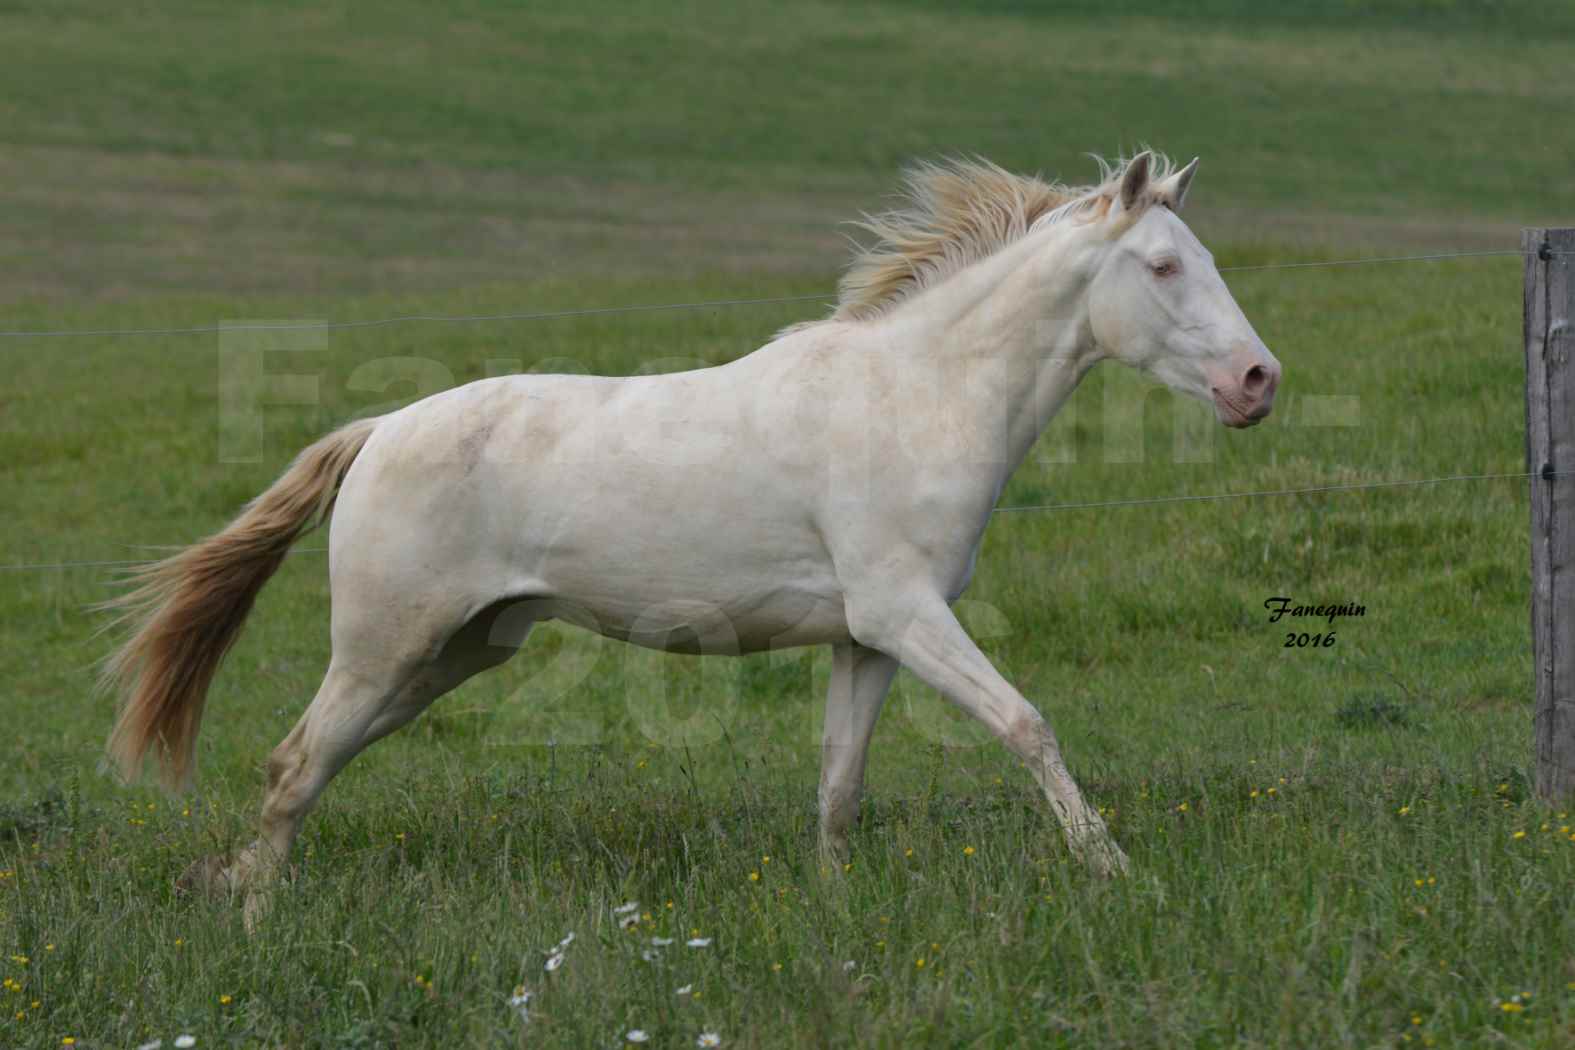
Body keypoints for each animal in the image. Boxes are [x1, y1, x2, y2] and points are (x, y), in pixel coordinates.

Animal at [101, 151, 1278, 925]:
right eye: (1163, 267)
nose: (1257, 381)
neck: (913, 398)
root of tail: (378, 429)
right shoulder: (908, 613)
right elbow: (1028, 726)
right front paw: (1115, 872)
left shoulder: (866, 638)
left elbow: (840, 788)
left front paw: (835, 913)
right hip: (386, 647)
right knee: (295, 764)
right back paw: (254, 920)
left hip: (451, 656)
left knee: (304, 764)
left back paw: (233, 890)